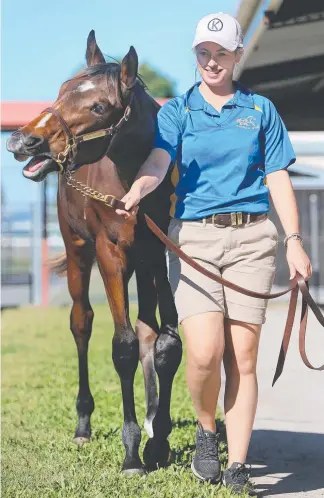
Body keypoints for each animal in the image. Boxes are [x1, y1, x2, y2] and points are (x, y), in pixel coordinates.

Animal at [6, 31, 182, 474]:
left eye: (99, 106)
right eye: (61, 90)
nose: (22, 140)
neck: (137, 182)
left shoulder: (162, 255)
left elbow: (166, 345)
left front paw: (158, 441)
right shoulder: (110, 254)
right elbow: (122, 347)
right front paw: (132, 453)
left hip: (142, 267)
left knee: (147, 328)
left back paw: (151, 419)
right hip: (78, 251)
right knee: (81, 321)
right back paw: (84, 424)